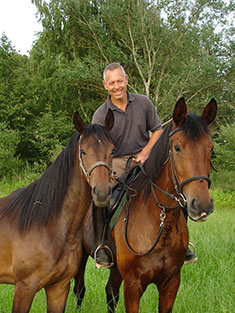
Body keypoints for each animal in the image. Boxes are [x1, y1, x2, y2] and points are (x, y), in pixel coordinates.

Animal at [74, 97, 218, 312]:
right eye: (177, 147)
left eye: (210, 148)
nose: (202, 206)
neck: (160, 223)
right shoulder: (133, 285)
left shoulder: (170, 283)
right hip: (81, 258)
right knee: (79, 290)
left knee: (110, 292)